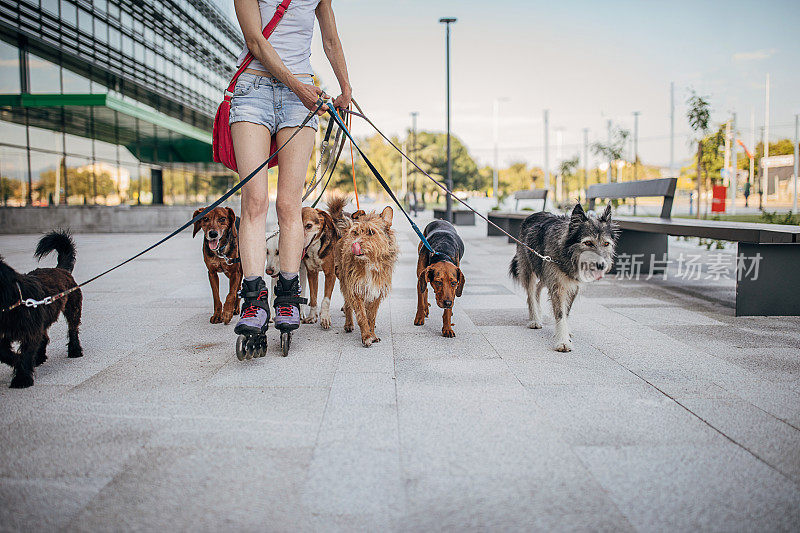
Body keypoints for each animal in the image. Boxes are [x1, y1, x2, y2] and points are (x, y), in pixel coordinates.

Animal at [328, 202, 396, 348]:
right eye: (356, 233)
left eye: (371, 232)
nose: (354, 245)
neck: (369, 262)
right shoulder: (355, 289)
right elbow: (362, 316)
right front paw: (366, 336)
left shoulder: (376, 291)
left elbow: (371, 316)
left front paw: (372, 334)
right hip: (344, 281)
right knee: (347, 303)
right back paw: (348, 323)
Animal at [510, 203, 616, 350]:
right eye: (588, 243)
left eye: (606, 243)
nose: (602, 265)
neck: (568, 254)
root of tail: (534, 214)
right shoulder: (558, 285)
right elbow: (560, 313)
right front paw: (563, 341)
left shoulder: (572, 286)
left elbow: (566, 311)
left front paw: (565, 332)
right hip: (528, 268)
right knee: (531, 293)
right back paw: (535, 319)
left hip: (545, 270)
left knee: (538, 287)